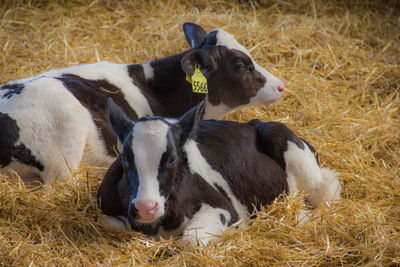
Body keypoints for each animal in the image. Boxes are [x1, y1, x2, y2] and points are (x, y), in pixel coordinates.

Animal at [97, 100, 340, 247]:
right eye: (125, 159)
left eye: (172, 159)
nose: (146, 207)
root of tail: (253, 123)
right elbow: (110, 222)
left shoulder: (224, 208)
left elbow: (191, 239)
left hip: (290, 147)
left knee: (327, 186)